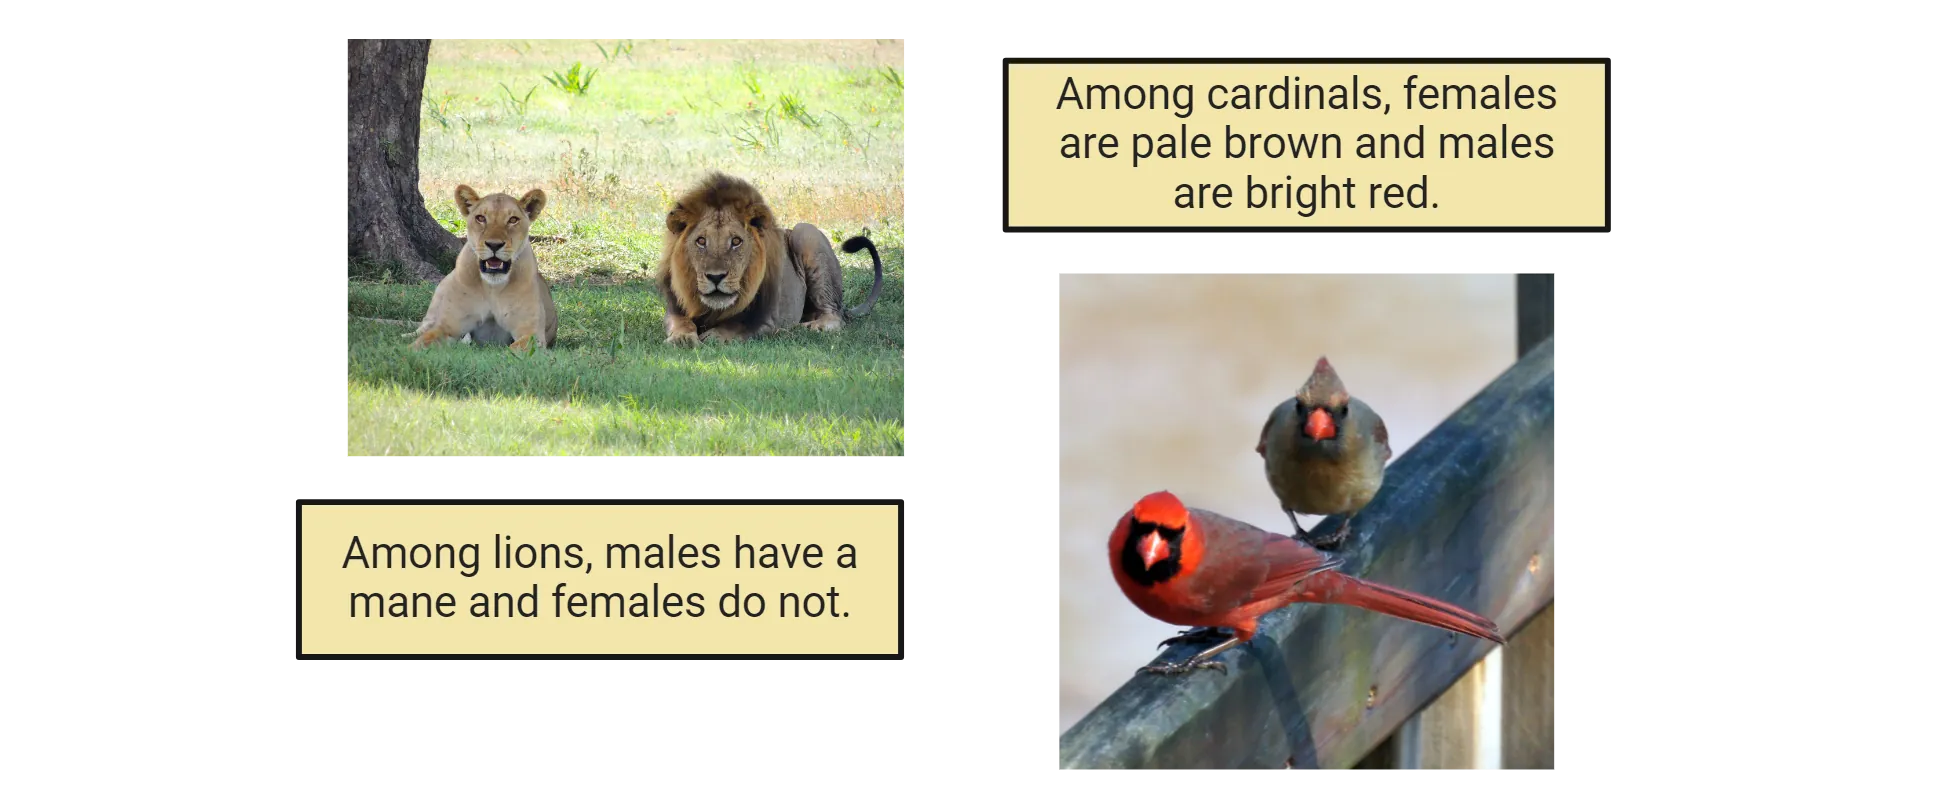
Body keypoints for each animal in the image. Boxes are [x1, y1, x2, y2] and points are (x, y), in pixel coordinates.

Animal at [407, 185, 558, 352]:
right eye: (481, 218)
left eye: (513, 220)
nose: (494, 245)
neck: (492, 287)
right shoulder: (448, 327)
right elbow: (421, 343)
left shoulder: (532, 334)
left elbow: (515, 349)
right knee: (423, 326)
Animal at [656, 172, 884, 346]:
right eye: (701, 241)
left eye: (736, 241)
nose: (715, 277)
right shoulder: (674, 309)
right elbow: (681, 322)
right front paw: (682, 338)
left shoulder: (768, 318)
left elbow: (740, 326)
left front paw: (716, 336)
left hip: (805, 233)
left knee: (834, 316)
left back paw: (809, 327)